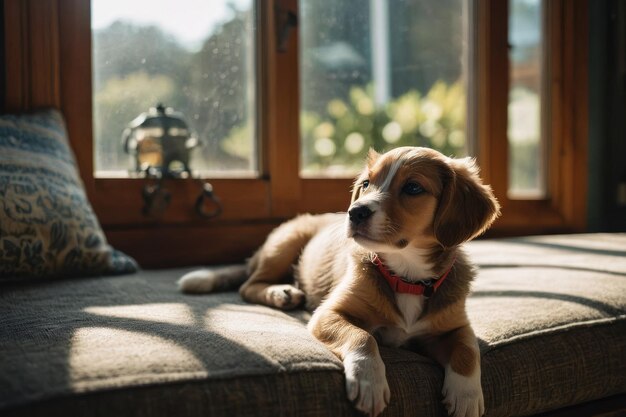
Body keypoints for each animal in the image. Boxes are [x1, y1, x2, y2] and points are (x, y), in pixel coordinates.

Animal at [178, 146, 500, 416]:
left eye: (413, 187)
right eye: (367, 184)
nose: (355, 212)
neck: (406, 275)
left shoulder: (455, 325)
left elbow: (468, 351)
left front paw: (467, 396)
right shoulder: (329, 313)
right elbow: (363, 336)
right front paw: (369, 382)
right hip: (285, 242)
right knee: (249, 285)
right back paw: (282, 292)